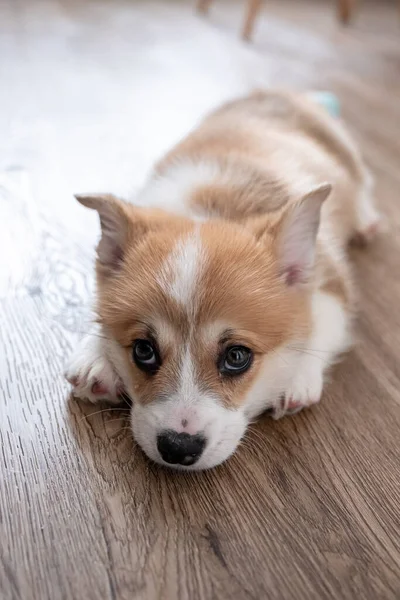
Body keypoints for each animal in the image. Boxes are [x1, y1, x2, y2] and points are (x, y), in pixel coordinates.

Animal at [64, 91, 380, 472]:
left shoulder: (332, 284)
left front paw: (298, 378)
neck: (211, 210)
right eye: (143, 350)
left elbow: (319, 324)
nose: (177, 448)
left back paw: (366, 220)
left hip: (347, 153)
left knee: (363, 183)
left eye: (237, 356)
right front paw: (95, 357)